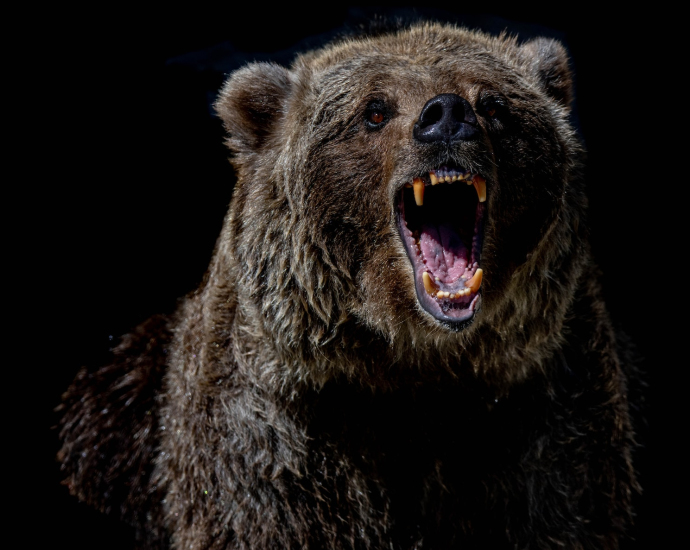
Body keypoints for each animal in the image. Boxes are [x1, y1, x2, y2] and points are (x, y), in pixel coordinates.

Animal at [57, 23, 640, 550]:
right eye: (374, 110)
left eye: (494, 105)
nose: (447, 116)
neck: (412, 366)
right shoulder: (277, 445)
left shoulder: (542, 423)